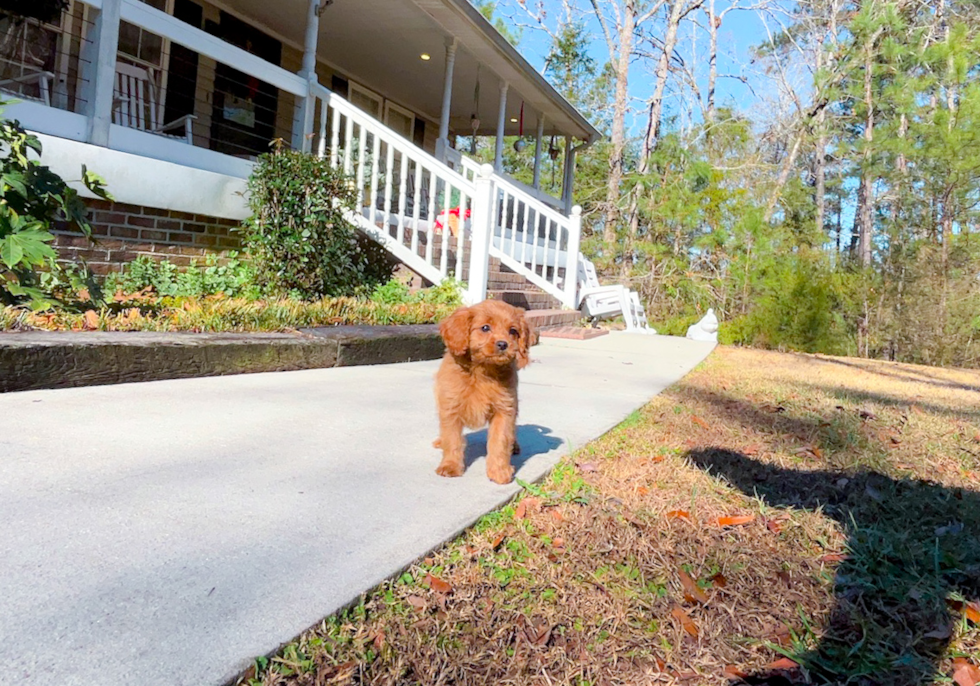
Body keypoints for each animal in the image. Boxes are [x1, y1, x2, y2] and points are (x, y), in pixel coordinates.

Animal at [432, 300, 532, 484]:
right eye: (485, 328)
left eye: (513, 331)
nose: (503, 344)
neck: (482, 372)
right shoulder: (451, 408)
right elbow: (452, 439)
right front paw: (450, 466)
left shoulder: (504, 410)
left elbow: (500, 441)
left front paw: (499, 471)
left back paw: (514, 446)